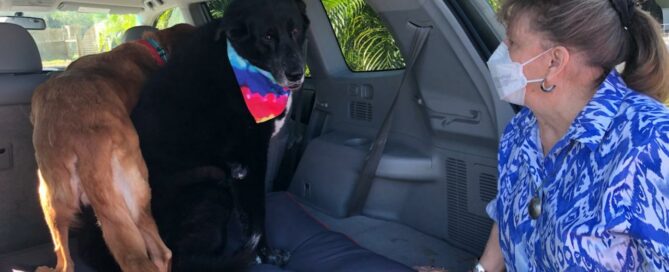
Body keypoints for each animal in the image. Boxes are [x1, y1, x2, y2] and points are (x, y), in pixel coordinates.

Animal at [30, 23, 194, 272]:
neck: (152, 48)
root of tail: (78, 138)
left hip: (51, 196)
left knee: (65, 259)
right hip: (136, 193)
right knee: (161, 252)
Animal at [127, 0, 308, 270]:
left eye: (295, 31)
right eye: (267, 36)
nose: (297, 74)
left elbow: (248, 218)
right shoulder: (253, 160)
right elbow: (258, 213)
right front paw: (268, 254)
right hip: (211, 189)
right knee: (186, 259)